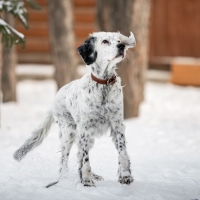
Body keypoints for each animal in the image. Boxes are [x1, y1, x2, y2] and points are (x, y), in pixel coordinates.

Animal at [13, 31, 136, 188]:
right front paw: (87, 181)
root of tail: (56, 96)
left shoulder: (117, 125)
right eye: (105, 41)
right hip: (69, 132)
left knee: (79, 157)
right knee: (64, 163)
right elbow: (86, 159)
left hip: (85, 137)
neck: (103, 86)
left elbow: (122, 152)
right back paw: (63, 179)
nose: (121, 47)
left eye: (119, 41)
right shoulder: (85, 129)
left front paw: (125, 176)